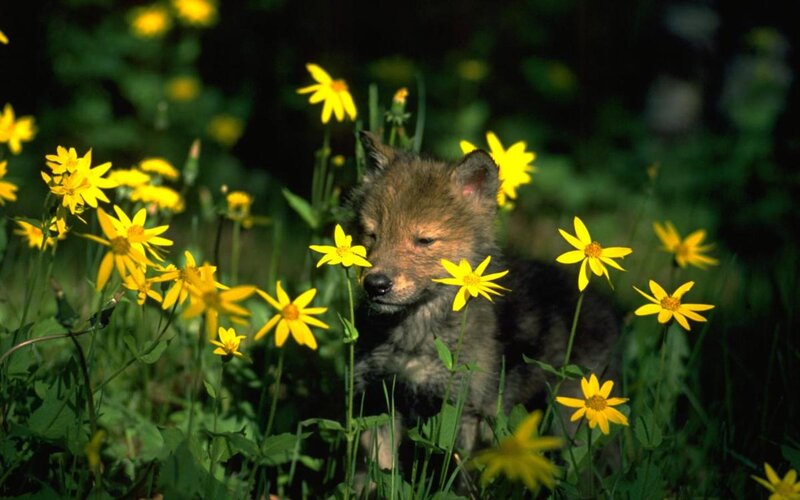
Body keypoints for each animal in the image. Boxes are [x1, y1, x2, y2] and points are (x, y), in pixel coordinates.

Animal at [350, 131, 618, 474]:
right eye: (372, 235)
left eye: (424, 240)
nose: (376, 285)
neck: (413, 336)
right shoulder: (378, 400)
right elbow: (377, 473)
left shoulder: (461, 411)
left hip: (574, 423)